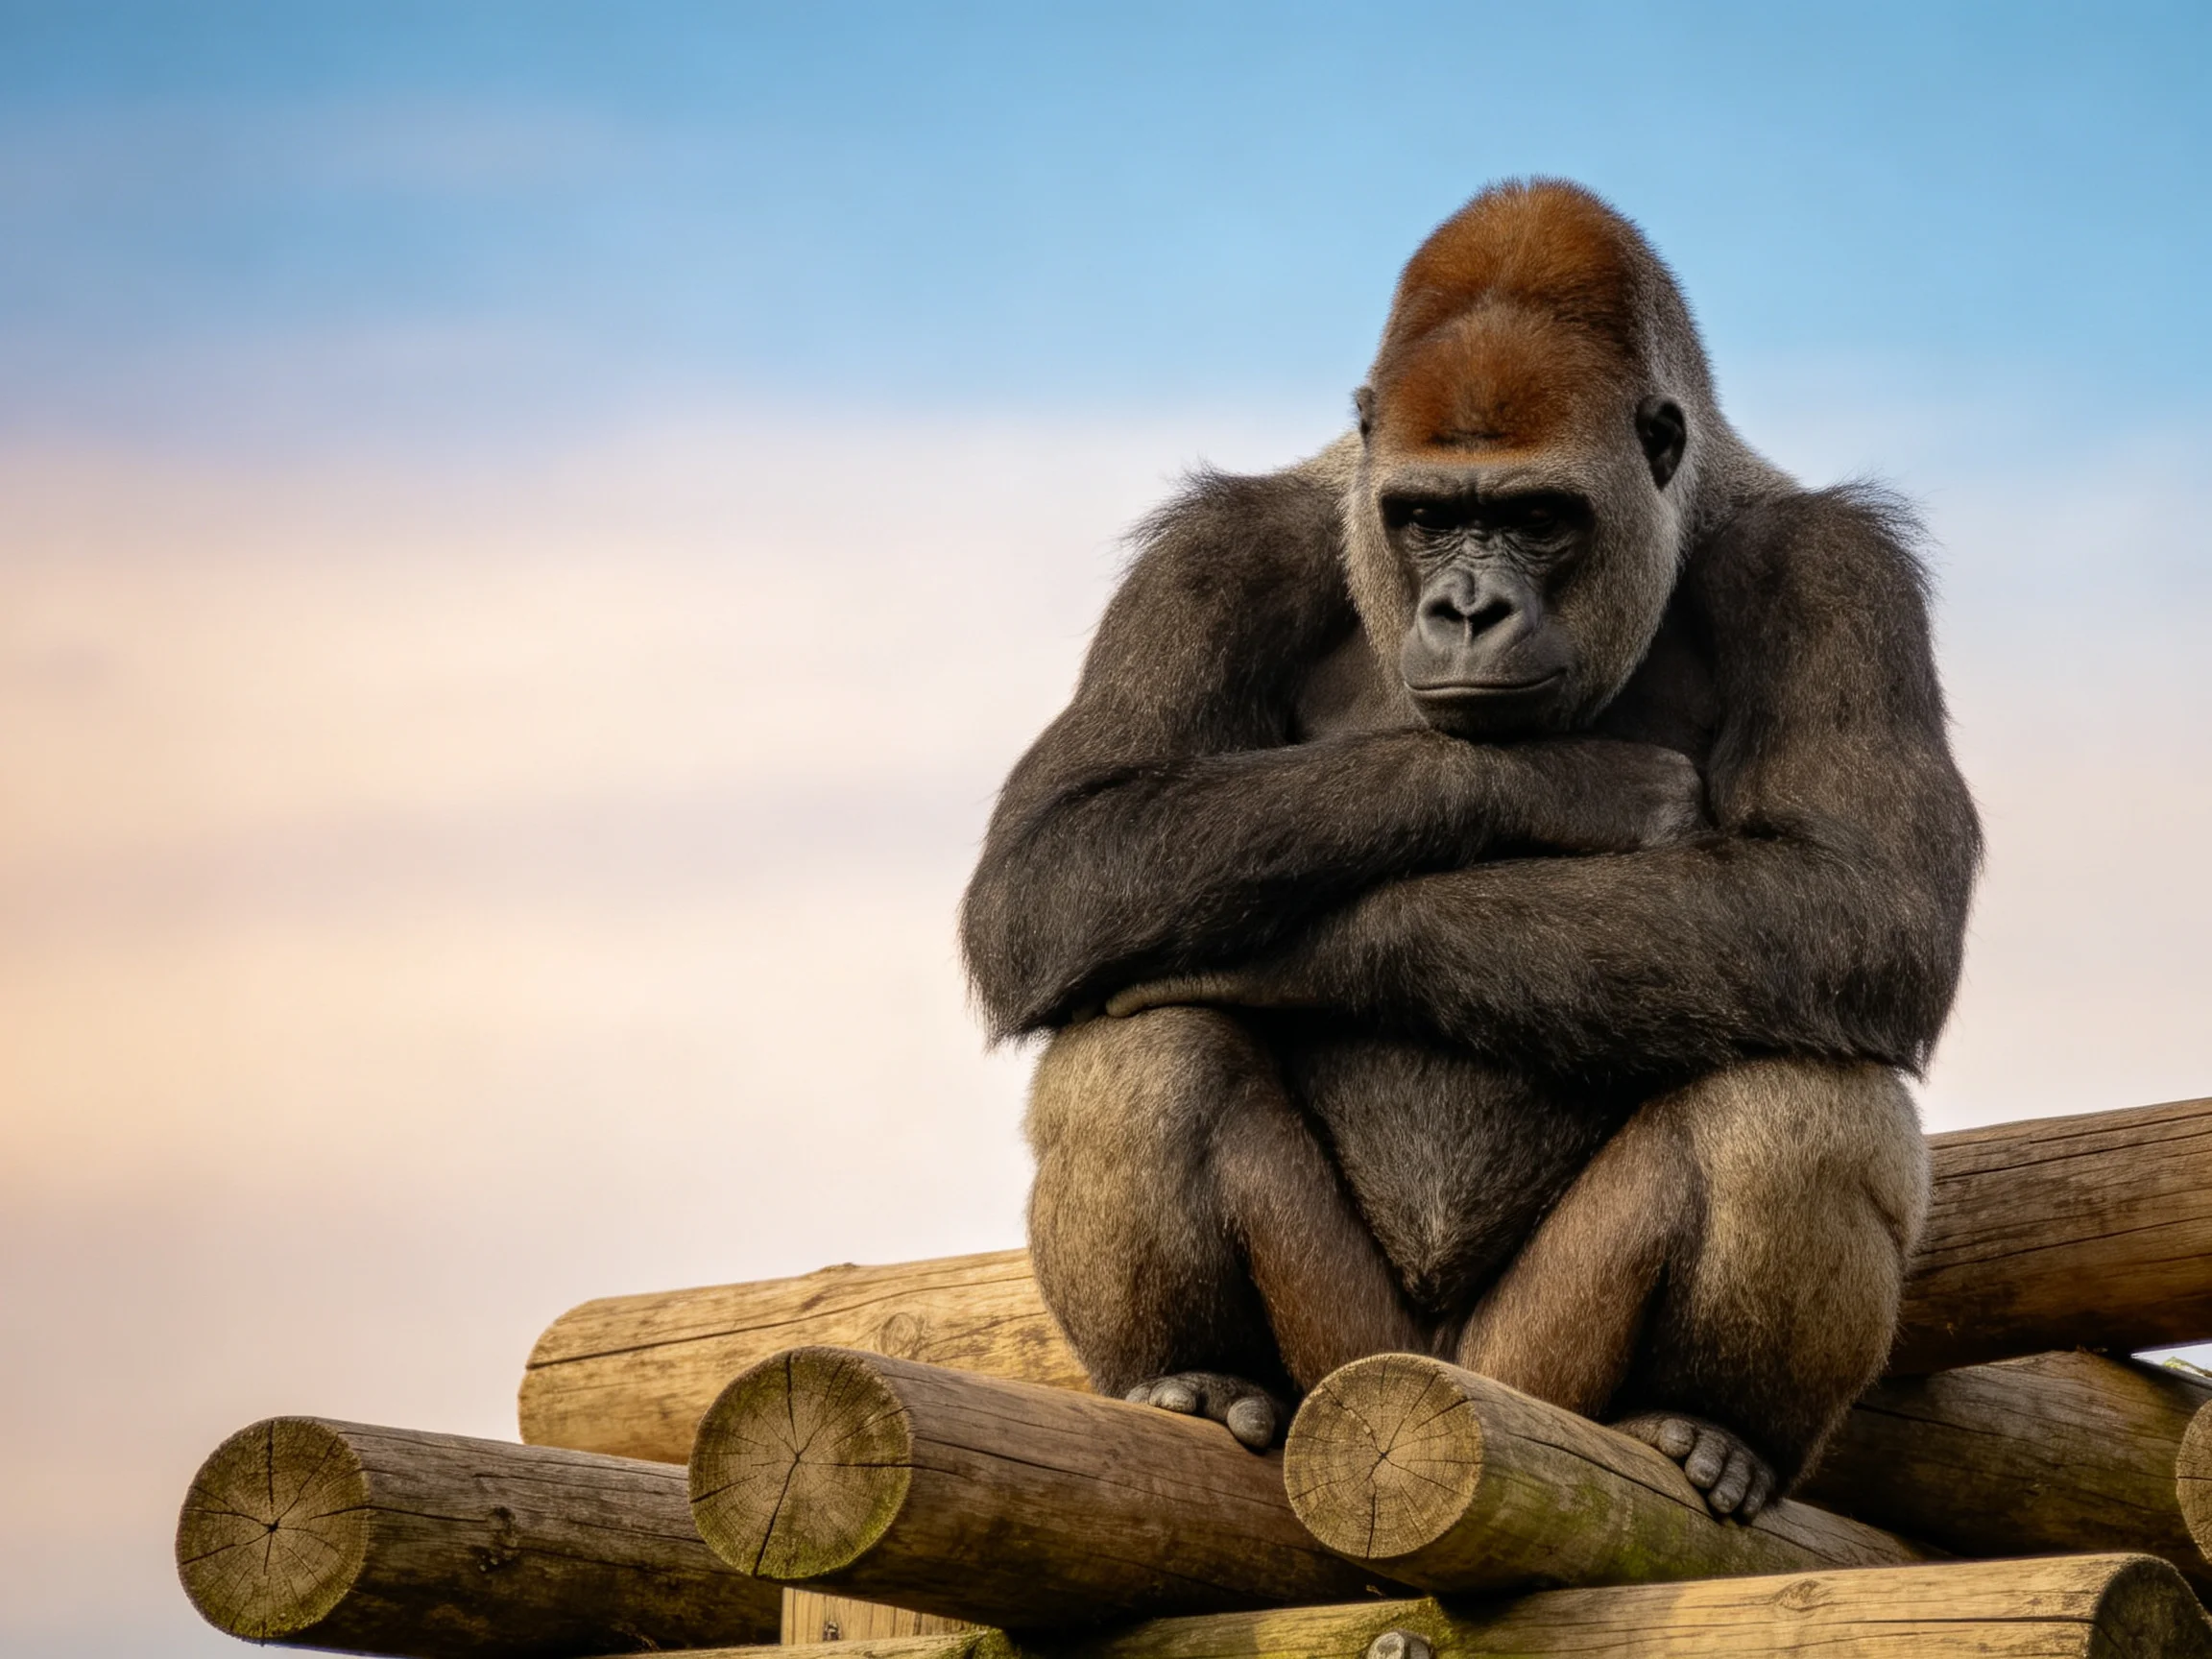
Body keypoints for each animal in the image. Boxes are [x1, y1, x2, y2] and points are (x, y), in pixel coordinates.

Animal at [959, 180, 1979, 1519]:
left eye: (1537, 518)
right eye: (1431, 518)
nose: (1468, 610)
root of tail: (1433, 1390)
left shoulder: (1836, 572)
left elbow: (1861, 905)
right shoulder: (1214, 556)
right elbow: (1054, 863)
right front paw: (1567, 781)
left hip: (1536, 1386)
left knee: (1803, 1089)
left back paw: (1709, 1426)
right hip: (1343, 1363)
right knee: (1142, 1053)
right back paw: (1198, 1378)